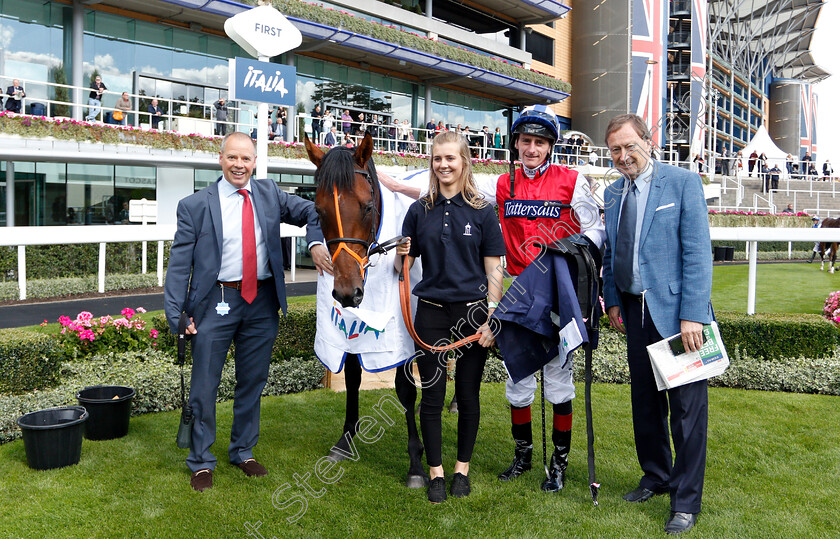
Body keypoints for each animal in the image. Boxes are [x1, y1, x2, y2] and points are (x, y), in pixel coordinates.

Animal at [304, 132, 430, 490]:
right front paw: (345, 440)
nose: (348, 292)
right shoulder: (350, 332)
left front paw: (416, 462)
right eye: (318, 210)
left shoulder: (403, 334)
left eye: (368, 206)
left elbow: (405, 389)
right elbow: (352, 377)